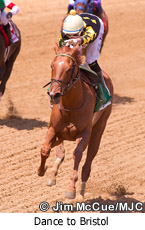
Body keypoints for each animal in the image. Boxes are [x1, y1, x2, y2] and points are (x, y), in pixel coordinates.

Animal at [38, 44, 113, 199]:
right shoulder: (53, 128)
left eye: (69, 68)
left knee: (87, 164)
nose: (54, 94)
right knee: (59, 152)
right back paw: (52, 175)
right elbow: (45, 149)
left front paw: (71, 190)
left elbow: (77, 154)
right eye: (52, 65)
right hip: (62, 135)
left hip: (99, 129)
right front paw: (41, 170)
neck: (70, 105)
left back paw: (81, 194)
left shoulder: (84, 133)